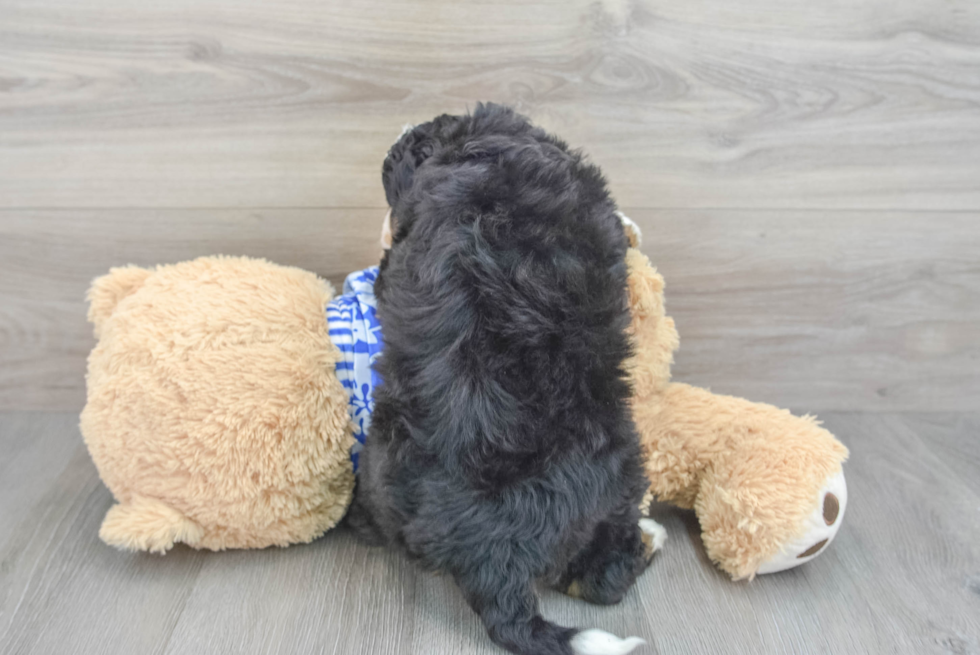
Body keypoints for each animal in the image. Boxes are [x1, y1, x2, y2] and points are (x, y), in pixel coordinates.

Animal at [344, 104, 660, 655]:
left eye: (405, 155)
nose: (397, 138)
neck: (483, 148)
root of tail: (496, 561)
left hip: (383, 465)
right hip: (623, 467)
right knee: (602, 579)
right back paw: (644, 540)